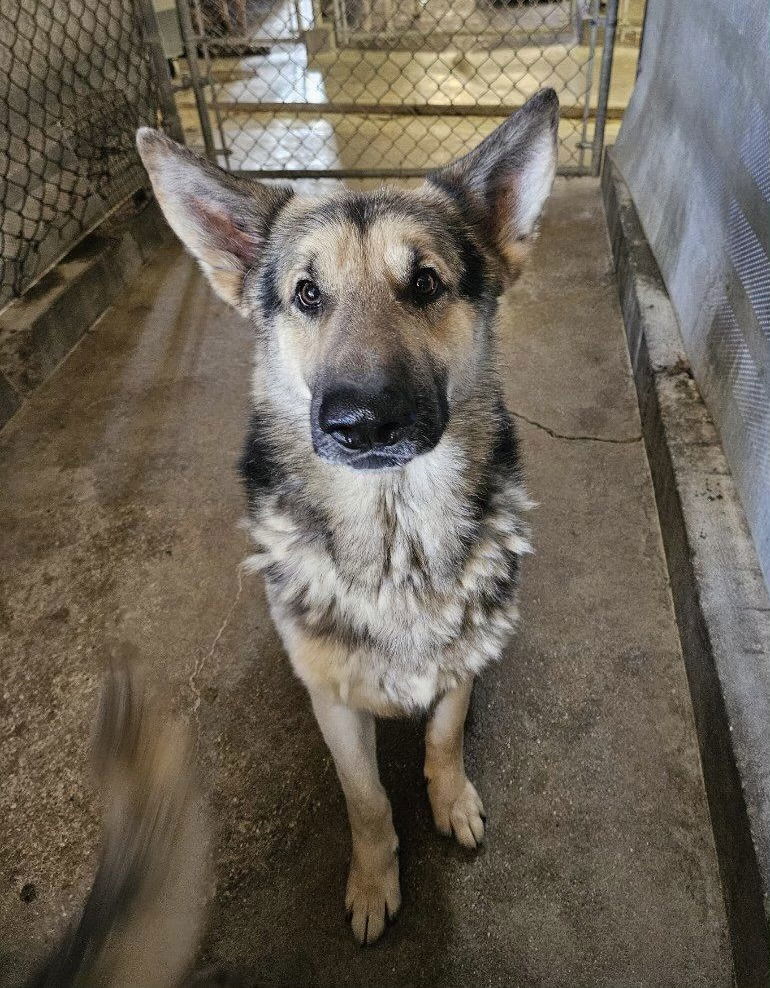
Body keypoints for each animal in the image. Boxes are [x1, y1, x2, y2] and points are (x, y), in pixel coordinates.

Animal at [138, 89, 556, 944]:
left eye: (425, 283)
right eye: (307, 293)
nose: (360, 423)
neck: (396, 535)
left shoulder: (455, 668)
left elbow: (442, 738)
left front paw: (450, 797)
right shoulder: (334, 704)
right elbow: (365, 799)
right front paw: (372, 880)